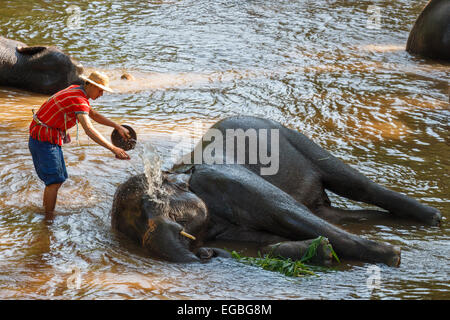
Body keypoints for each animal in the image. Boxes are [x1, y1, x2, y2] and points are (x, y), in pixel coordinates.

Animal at [110, 116, 442, 266]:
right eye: (136, 230)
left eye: (154, 204)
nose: (204, 252)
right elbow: (265, 243)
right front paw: (322, 251)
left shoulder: (225, 179)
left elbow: (288, 214)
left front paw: (392, 256)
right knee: (333, 213)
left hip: (290, 136)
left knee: (353, 183)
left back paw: (432, 218)